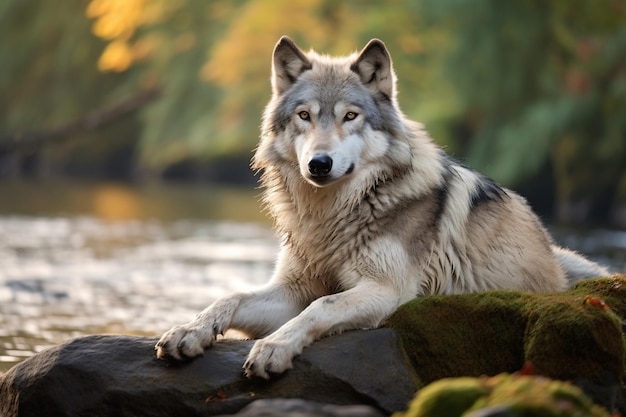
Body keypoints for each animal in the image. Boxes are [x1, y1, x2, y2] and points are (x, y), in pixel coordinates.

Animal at [154, 37, 608, 378]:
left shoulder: (386, 291)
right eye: (304, 116)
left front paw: (274, 346)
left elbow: (322, 306)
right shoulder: (293, 289)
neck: (333, 214)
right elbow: (230, 297)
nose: (319, 163)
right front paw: (190, 330)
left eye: (350, 116)